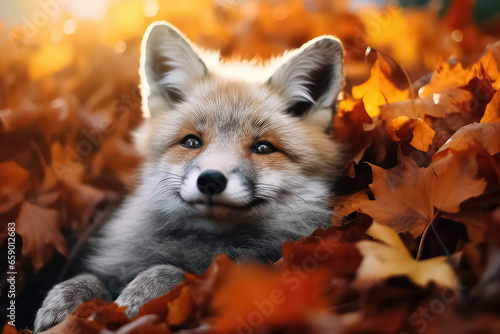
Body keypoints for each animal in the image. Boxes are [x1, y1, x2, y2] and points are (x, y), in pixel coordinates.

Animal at [33, 21, 342, 334]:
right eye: (191, 142)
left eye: (263, 148)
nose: (211, 180)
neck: (203, 243)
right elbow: (91, 279)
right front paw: (67, 301)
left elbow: (175, 273)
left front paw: (141, 294)